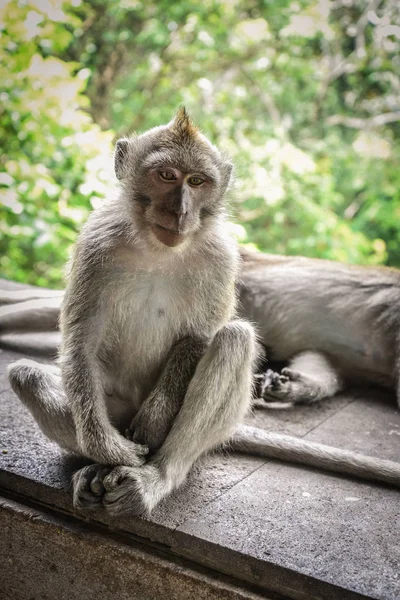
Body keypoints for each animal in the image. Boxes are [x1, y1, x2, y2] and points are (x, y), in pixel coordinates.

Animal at [2, 109, 400, 516]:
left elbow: (199, 335)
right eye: (166, 175)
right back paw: (103, 464)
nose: (181, 211)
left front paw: (156, 418)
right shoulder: (95, 244)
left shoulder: (222, 256)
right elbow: (81, 341)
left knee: (234, 340)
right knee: (27, 376)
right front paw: (104, 447)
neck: (157, 248)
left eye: (197, 181)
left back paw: (155, 476)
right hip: (114, 409)